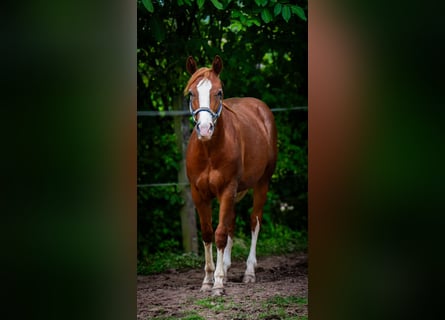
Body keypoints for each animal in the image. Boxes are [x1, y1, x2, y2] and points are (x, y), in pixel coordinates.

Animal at [185, 55, 278, 296]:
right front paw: (208, 279)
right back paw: (226, 269)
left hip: (262, 182)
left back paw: (248, 272)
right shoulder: (199, 193)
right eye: (191, 94)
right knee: (231, 224)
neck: (209, 150)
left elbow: (219, 233)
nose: (205, 128)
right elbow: (208, 233)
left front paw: (217, 283)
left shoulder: (227, 188)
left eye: (219, 92)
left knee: (254, 221)